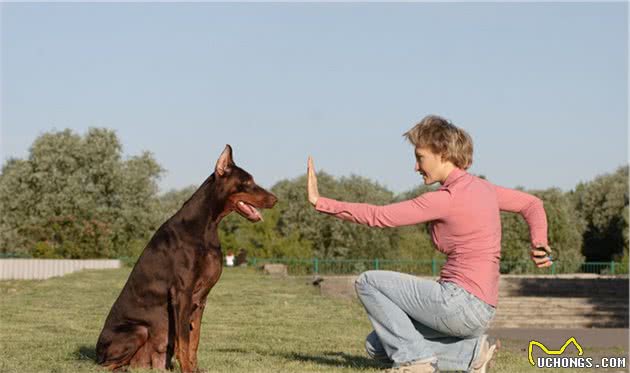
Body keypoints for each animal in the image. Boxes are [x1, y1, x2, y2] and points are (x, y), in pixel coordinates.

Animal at [95, 145, 276, 372]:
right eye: (248, 182)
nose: (275, 199)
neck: (207, 225)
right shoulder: (182, 293)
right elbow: (184, 341)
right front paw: (188, 370)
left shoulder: (201, 299)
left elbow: (194, 340)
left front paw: (196, 368)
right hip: (137, 330)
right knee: (104, 365)